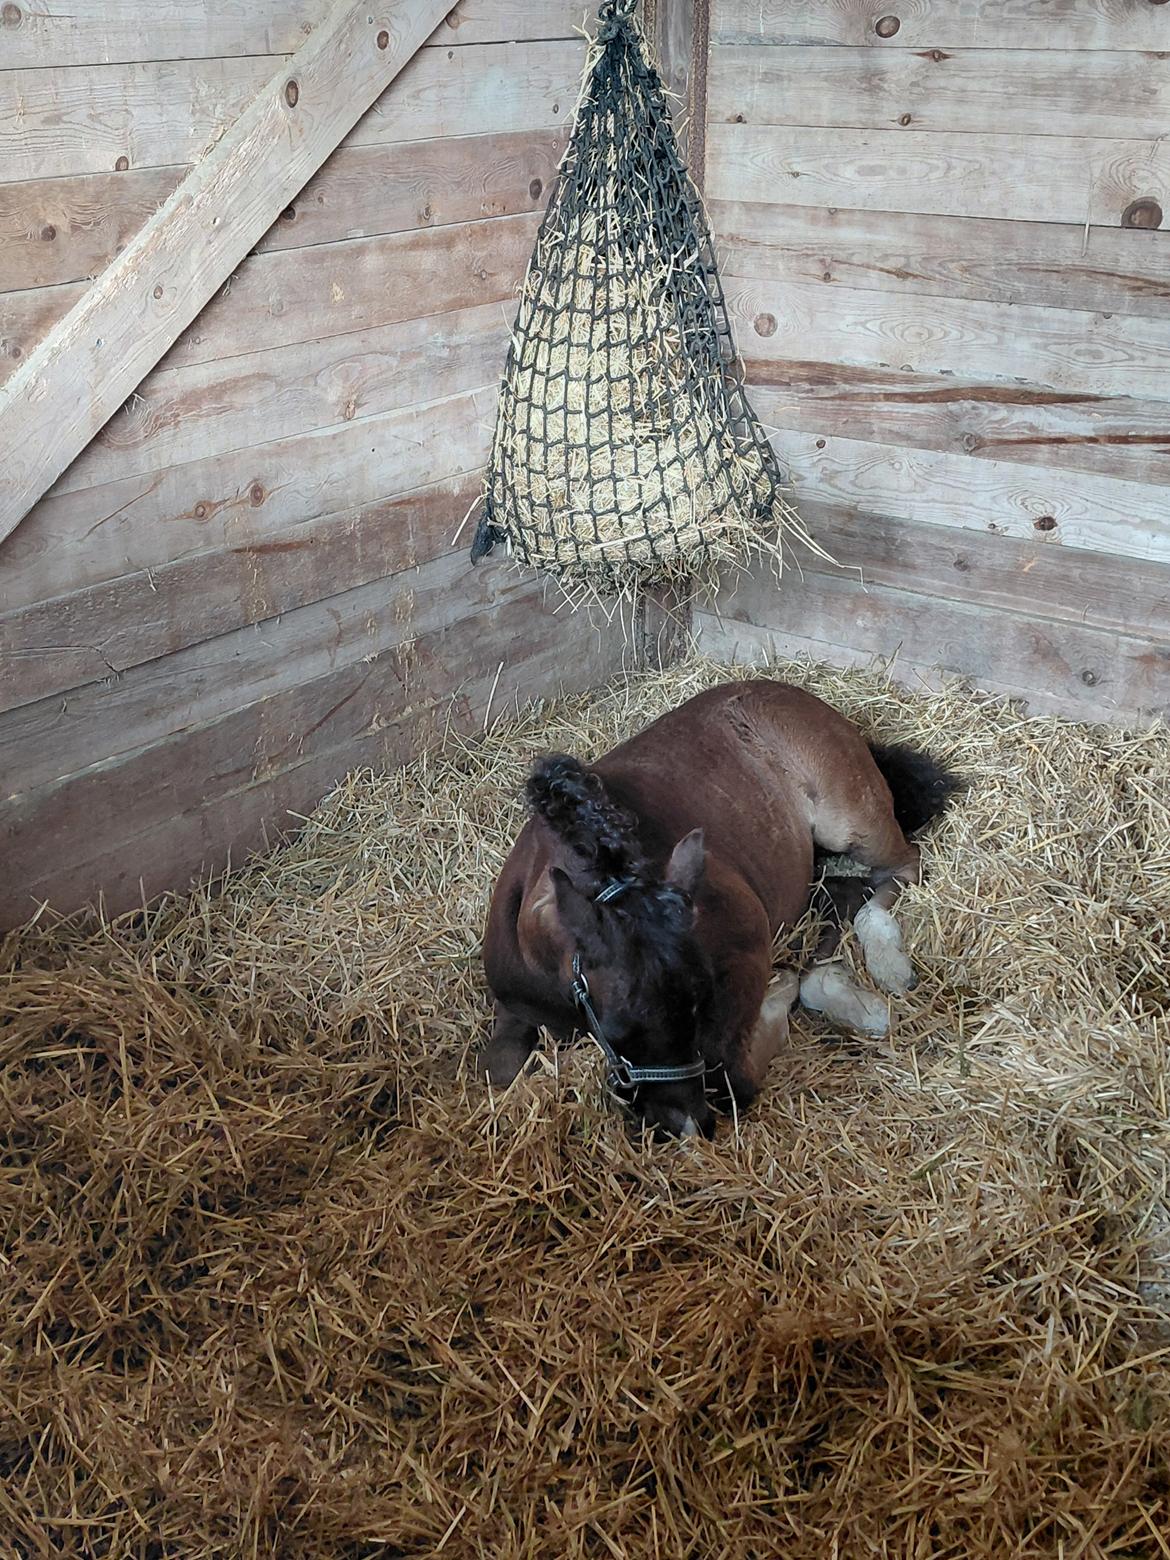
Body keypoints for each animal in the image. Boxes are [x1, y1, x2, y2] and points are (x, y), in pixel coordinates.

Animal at [477, 678, 960, 1140]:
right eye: (614, 1029)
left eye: (702, 998)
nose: (686, 1124)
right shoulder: (515, 1009)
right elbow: (496, 1072)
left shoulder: (745, 946)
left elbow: (732, 1076)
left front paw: (784, 990)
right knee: (843, 891)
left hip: (846, 819)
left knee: (902, 867)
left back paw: (885, 967)